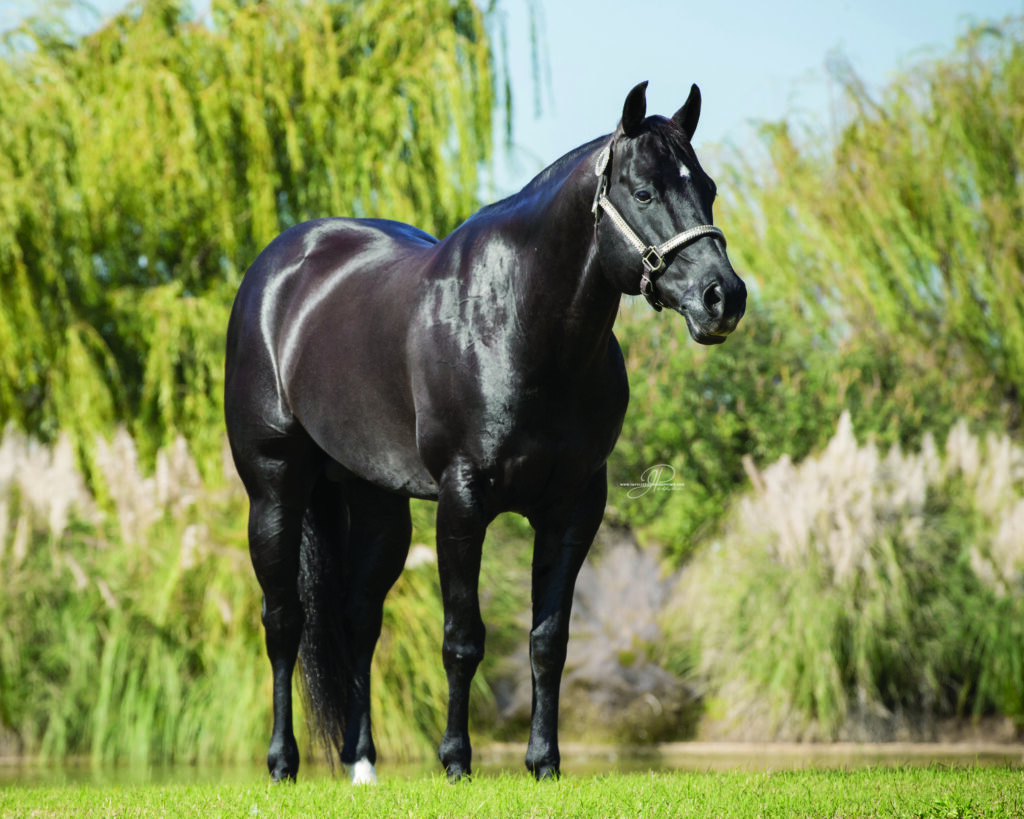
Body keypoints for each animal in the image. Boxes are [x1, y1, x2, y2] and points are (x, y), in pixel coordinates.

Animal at [224, 81, 746, 784]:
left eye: (708, 188)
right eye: (643, 193)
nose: (724, 298)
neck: (518, 325)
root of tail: (277, 269)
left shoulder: (574, 507)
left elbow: (549, 640)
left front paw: (544, 763)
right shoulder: (463, 500)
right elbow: (463, 639)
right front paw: (456, 762)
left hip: (377, 502)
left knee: (358, 618)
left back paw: (362, 764)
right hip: (275, 489)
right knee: (284, 621)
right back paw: (283, 763)